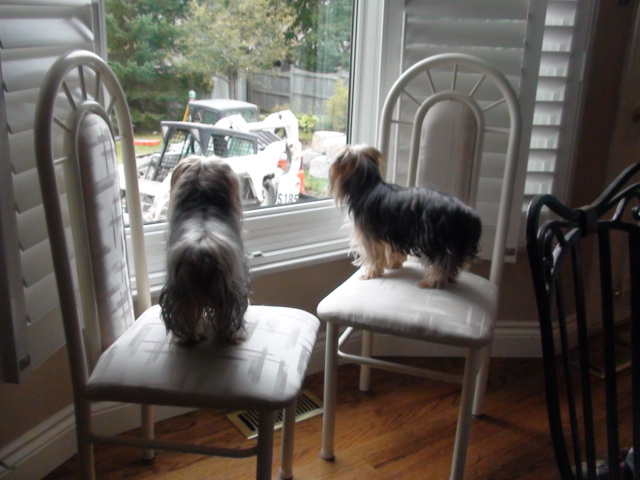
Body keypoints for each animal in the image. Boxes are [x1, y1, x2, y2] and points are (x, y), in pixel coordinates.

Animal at [158, 156, 250, 344]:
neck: (202, 203)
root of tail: (201, 252)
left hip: (182, 293)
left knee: (184, 317)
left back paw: (188, 338)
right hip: (230, 291)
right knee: (231, 317)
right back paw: (232, 335)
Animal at [330, 144, 480, 286]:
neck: (367, 186)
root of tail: (468, 213)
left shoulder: (368, 234)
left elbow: (373, 255)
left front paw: (370, 273)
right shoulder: (393, 231)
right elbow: (392, 250)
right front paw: (393, 264)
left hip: (438, 241)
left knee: (442, 263)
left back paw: (431, 282)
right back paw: (448, 278)